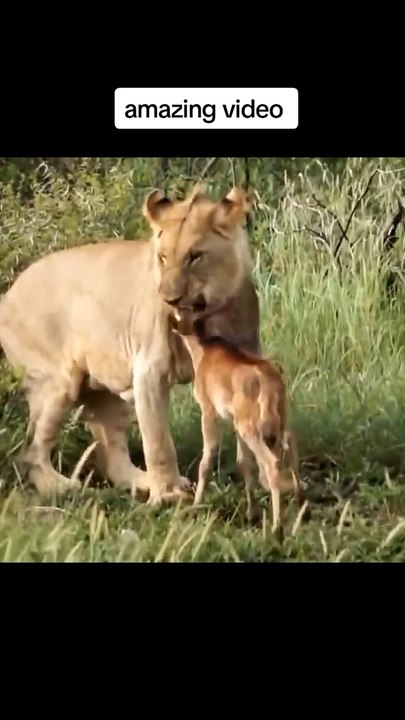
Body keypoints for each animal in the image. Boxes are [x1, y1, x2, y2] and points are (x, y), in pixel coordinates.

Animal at [0, 183, 261, 504]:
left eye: (195, 256)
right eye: (162, 257)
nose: (170, 298)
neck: (212, 316)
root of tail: (7, 295)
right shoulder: (149, 370)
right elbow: (158, 440)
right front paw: (169, 494)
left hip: (107, 386)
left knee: (111, 453)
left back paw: (141, 481)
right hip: (56, 382)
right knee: (31, 451)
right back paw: (63, 487)